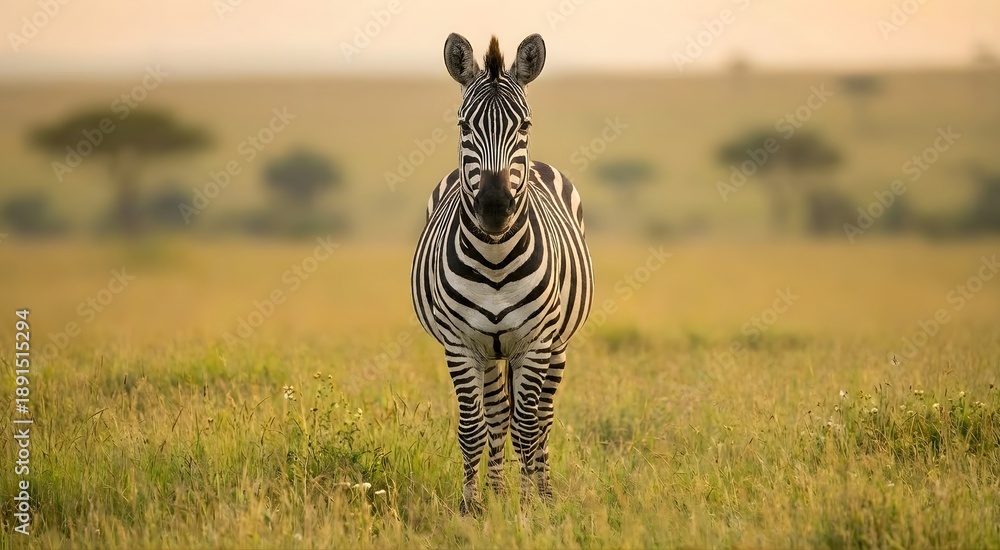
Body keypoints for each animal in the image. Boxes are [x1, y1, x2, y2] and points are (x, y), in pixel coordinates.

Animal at [410, 32, 594, 513]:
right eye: (463, 127)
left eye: (524, 126)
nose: (494, 208)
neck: (494, 259)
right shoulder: (460, 345)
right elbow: (473, 428)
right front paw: (473, 507)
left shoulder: (536, 341)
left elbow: (528, 428)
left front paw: (529, 506)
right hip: (491, 352)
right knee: (496, 416)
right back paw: (495, 491)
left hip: (557, 345)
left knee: (541, 418)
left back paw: (543, 491)